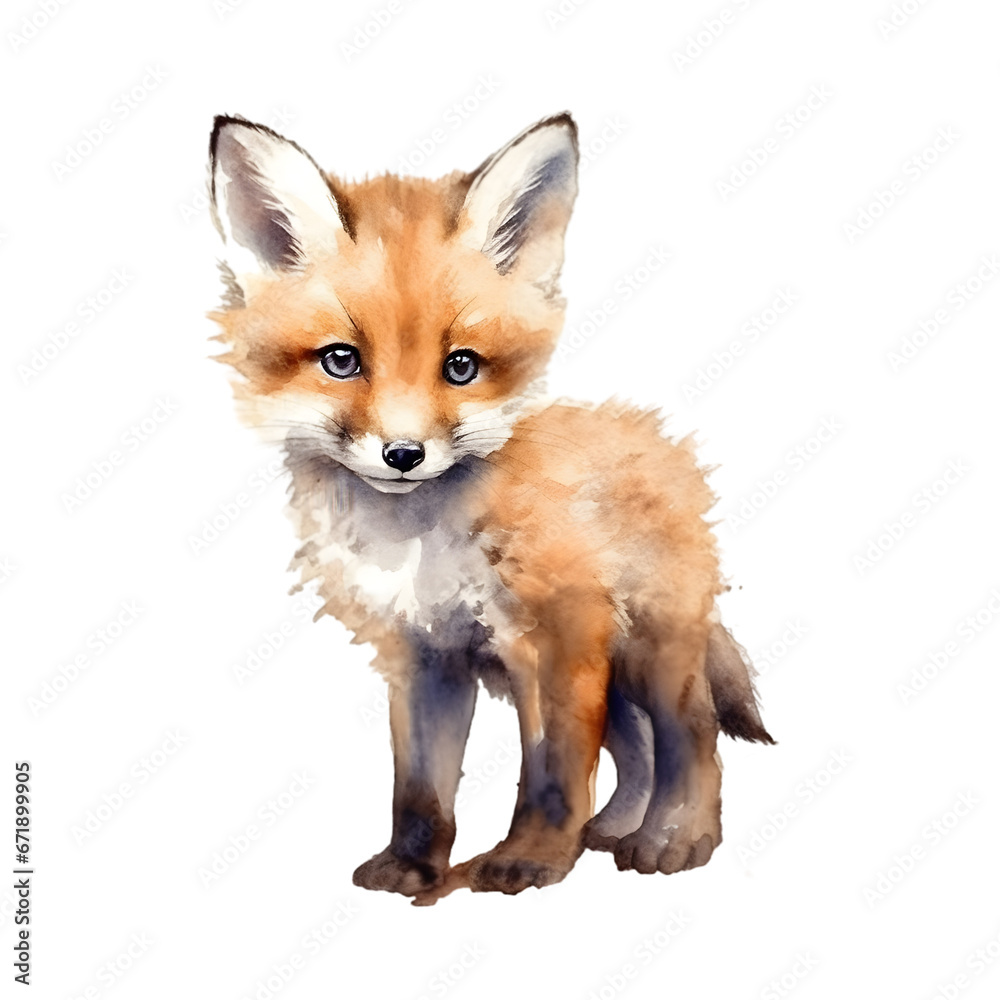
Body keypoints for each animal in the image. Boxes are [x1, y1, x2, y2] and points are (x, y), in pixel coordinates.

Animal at [207, 112, 773, 903]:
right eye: (341, 360)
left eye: (462, 366)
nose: (403, 454)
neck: (421, 541)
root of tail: (663, 445)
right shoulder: (424, 658)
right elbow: (420, 788)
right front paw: (413, 867)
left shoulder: (556, 638)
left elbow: (555, 773)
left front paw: (531, 859)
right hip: (613, 668)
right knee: (633, 745)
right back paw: (613, 829)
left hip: (654, 652)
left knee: (691, 736)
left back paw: (675, 837)